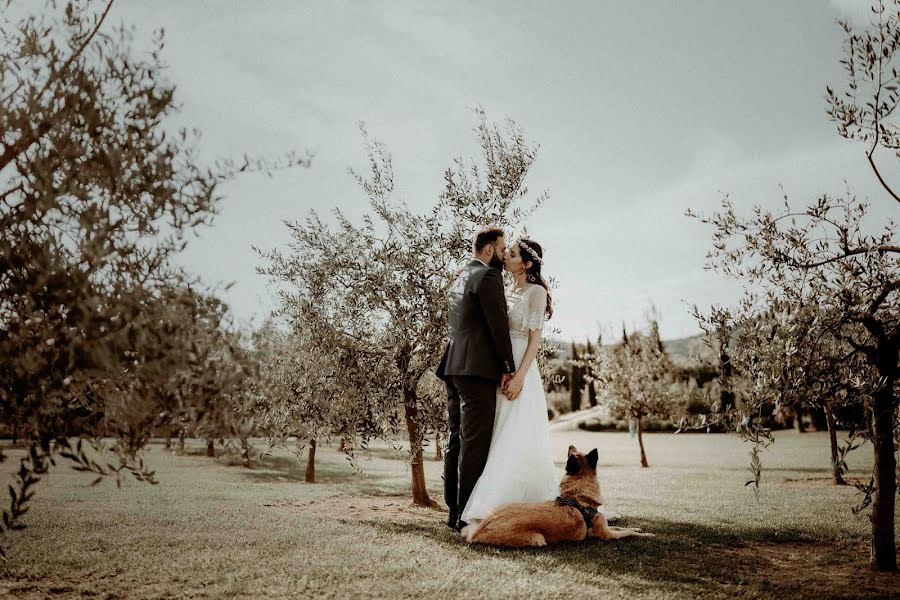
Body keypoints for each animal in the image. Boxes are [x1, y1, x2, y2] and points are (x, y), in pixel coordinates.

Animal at [464, 446, 652, 548]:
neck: (577, 497)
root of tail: (478, 531)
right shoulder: (606, 535)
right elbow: (626, 532)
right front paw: (646, 535)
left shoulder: (606, 527)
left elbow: (623, 527)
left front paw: (638, 528)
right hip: (538, 538)